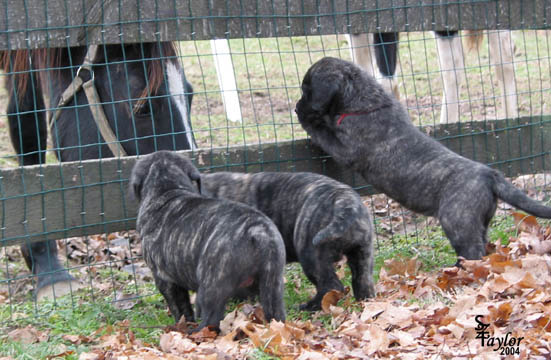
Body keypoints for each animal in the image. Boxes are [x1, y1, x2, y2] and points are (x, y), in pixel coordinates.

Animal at [129, 150, 284, 330]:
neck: (167, 189)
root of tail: (257, 230)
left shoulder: (164, 279)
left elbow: (180, 308)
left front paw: (181, 326)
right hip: (273, 282)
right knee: (276, 315)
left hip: (211, 286)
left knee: (211, 320)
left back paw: (196, 332)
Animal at [201, 171, 378, 310]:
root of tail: (345, 201)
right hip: (363, 252)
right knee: (362, 280)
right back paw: (365, 302)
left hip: (311, 254)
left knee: (331, 285)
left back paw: (310, 307)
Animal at [300, 57, 551, 262]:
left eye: (306, 89)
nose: (296, 107)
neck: (363, 101)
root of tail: (490, 175)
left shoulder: (347, 150)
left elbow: (323, 134)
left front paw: (309, 120)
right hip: (479, 222)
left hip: (456, 221)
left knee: (472, 252)